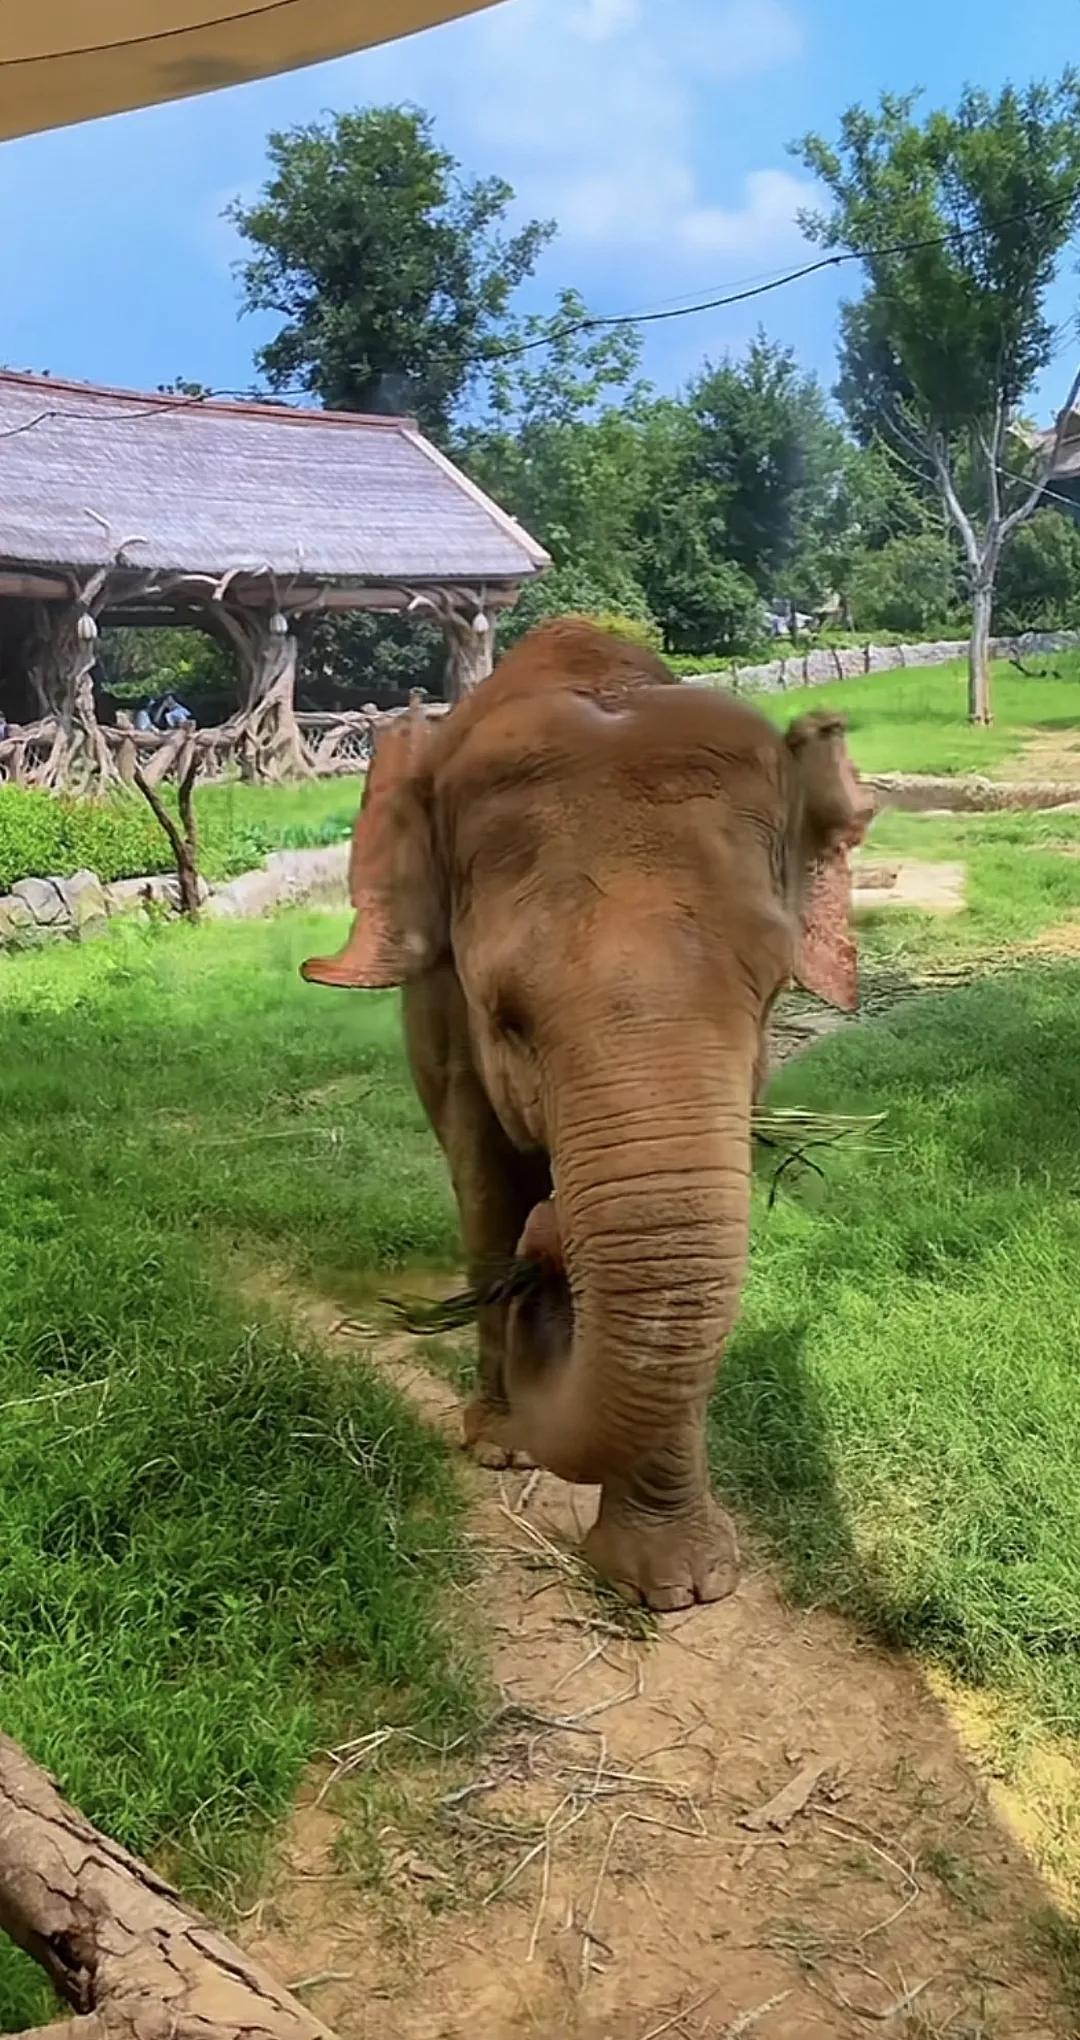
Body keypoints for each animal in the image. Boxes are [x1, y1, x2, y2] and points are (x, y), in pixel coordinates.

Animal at [300, 620, 865, 1607]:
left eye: (770, 996)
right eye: (505, 1016)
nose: (551, 1253)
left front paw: (680, 1587)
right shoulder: (448, 1011)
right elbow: (487, 1178)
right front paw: (501, 1450)